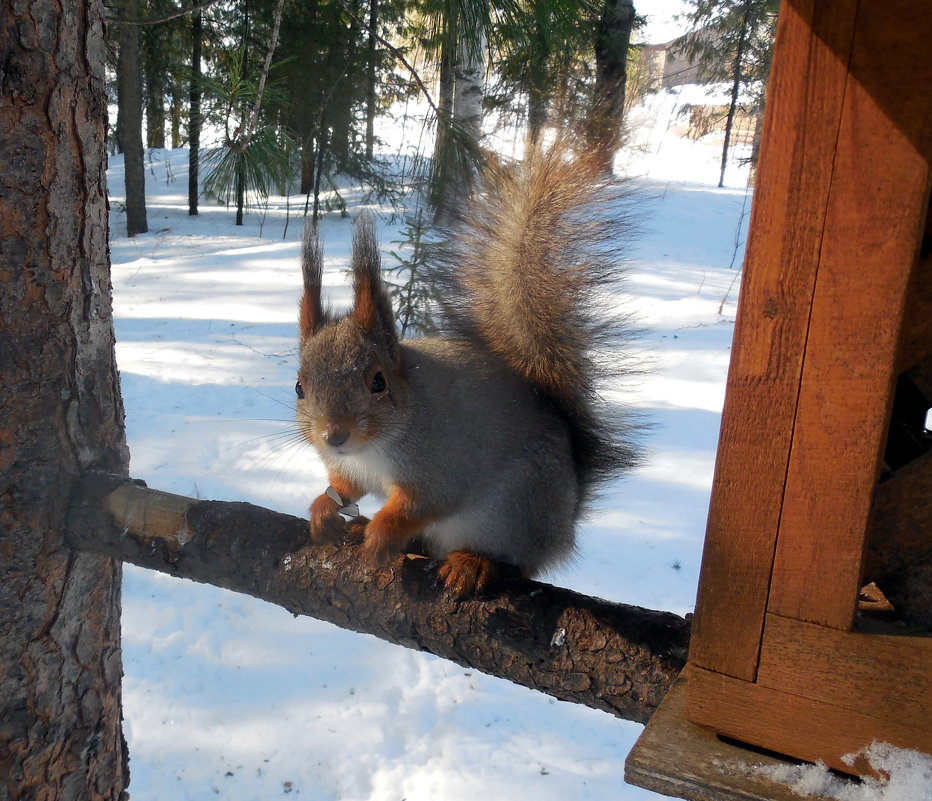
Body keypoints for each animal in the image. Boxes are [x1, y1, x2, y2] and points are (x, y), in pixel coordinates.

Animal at [296, 144, 640, 596]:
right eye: (299, 387)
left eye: (378, 382)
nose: (334, 436)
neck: (374, 446)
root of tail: (564, 524)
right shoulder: (351, 467)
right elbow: (346, 487)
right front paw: (323, 508)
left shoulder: (445, 459)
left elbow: (422, 502)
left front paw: (383, 534)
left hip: (513, 512)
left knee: (512, 560)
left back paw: (473, 563)